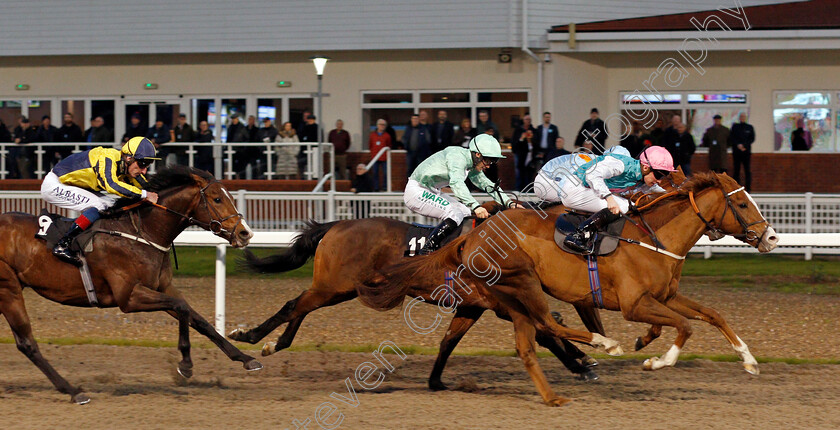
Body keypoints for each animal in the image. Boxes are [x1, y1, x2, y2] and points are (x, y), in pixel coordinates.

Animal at [0, 165, 262, 404]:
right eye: (217, 198)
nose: (245, 233)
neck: (143, 231)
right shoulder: (129, 297)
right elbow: (182, 307)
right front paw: (186, 365)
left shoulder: (161, 287)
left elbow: (198, 319)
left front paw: (246, 359)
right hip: (8, 289)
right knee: (27, 343)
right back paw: (74, 391)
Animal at [230, 203, 612, 388]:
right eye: (584, 234)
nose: (591, 300)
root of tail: (336, 225)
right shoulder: (502, 304)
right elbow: (546, 331)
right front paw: (584, 363)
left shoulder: (475, 306)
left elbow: (449, 341)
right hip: (333, 287)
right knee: (293, 305)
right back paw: (250, 337)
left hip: (335, 289)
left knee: (299, 306)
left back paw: (273, 343)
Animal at [360, 172, 780, 406]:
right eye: (743, 204)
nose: (772, 237)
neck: (655, 238)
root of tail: (473, 233)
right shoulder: (634, 304)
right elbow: (686, 327)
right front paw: (656, 361)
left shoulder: (665, 296)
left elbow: (712, 315)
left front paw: (749, 361)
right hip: (523, 281)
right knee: (547, 323)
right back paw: (601, 346)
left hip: (504, 292)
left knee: (532, 331)